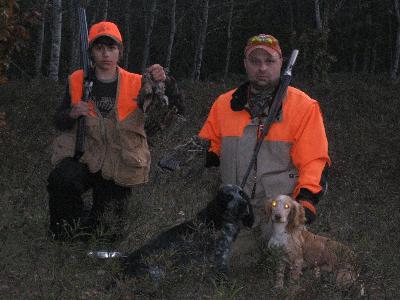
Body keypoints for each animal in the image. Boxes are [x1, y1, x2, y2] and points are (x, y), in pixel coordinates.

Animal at [120, 184, 255, 282]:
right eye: (228, 196)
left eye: (241, 193)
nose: (244, 204)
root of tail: (125, 263)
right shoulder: (220, 258)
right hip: (159, 272)